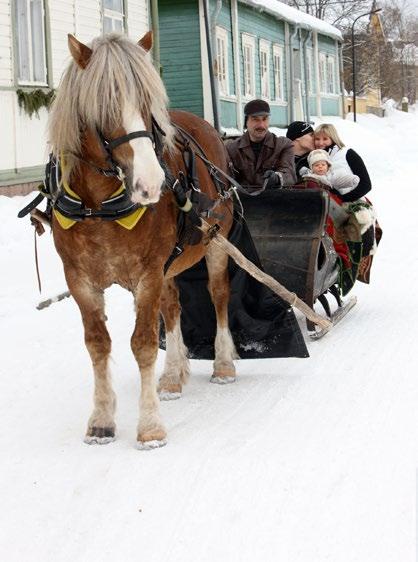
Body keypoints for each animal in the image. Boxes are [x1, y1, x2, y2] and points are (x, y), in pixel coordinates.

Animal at [49, 32, 235, 448]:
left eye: (150, 103)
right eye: (103, 105)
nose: (152, 183)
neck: (98, 206)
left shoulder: (147, 273)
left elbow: (144, 343)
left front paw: (150, 426)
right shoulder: (79, 279)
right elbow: (98, 343)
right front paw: (101, 420)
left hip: (215, 243)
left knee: (218, 296)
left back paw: (223, 363)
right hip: (170, 263)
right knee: (173, 306)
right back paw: (173, 375)